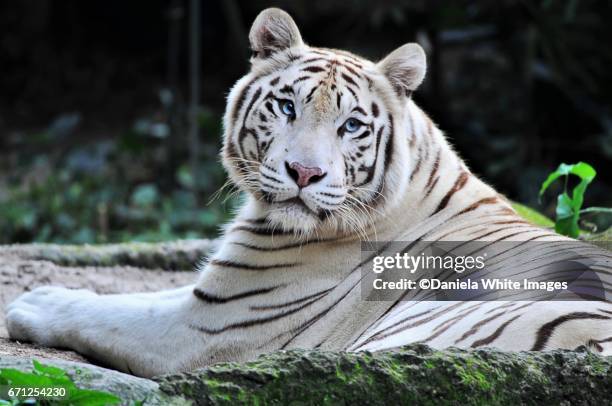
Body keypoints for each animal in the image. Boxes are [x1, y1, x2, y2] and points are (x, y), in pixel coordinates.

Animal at [5, 7, 612, 380]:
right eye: (287, 106)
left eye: (351, 126)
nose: (303, 172)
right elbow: (136, 294)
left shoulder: (209, 326)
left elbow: (104, 313)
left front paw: (35, 299)